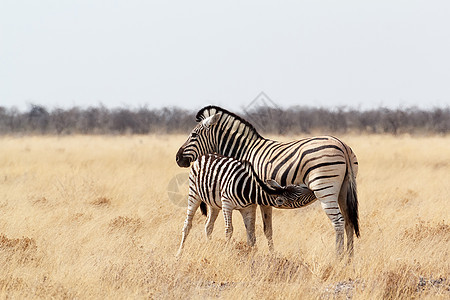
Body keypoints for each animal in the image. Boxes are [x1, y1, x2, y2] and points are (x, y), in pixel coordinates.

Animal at [177, 154, 312, 256]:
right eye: (298, 197)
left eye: (298, 187)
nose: (312, 190)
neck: (249, 190)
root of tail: (204, 155)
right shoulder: (227, 204)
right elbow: (229, 230)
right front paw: (226, 252)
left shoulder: (249, 208)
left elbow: (251, 234)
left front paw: (252, 255)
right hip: (194, 193)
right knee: (187, 224)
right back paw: (179, 253)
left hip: (214, 204)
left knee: (208, 226)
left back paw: (209, 247)